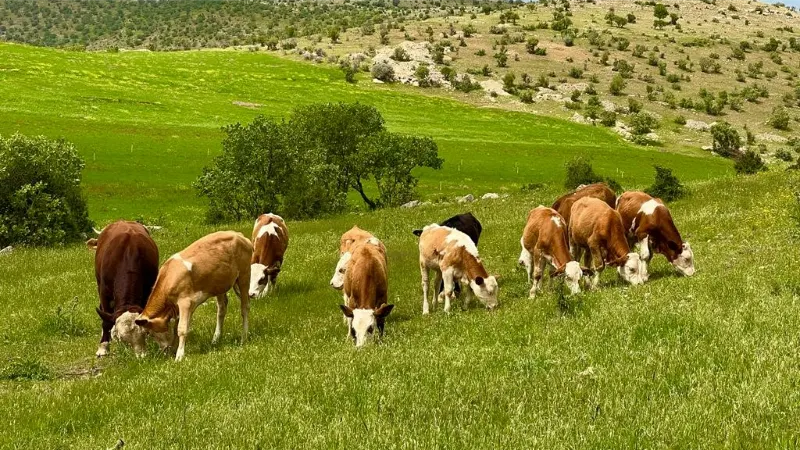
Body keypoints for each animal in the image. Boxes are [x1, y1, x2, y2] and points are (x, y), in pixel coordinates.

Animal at [89, 221, 159, 358]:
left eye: (144, 333)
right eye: (122, 338)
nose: (141, 357)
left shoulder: (148, 289)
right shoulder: (104, 292)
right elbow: (106, 321)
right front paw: (103, 347)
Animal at [130, 232, 253, 362]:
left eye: (149, 333)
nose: (164, 352)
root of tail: (239, 235)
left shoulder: (185, 302)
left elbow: (181, 329)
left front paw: (179, 356)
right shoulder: (185, 306)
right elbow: (177, 328)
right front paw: (175, 349)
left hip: (244, 276)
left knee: (245, 307)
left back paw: (244, 337)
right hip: (220, 285)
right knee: (222, 309)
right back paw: (216, 339)